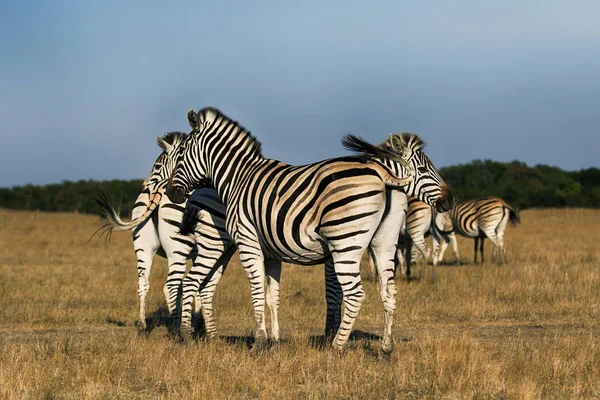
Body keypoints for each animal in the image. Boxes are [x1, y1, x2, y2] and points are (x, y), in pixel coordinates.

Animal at [94, 132, 234, 334]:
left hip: (143, 246)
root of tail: (157, 193)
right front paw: (195, 322)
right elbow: (195, 285)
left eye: (157, 166)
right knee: (171, 285)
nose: (143, 186)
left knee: (143, 282)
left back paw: (143, 324)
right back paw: (177, 328)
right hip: (178, 245)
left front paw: (194, 320)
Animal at [164, 107, 450, 354]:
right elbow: (273, 296)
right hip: (381, 244)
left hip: (339, 243)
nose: (171, 192)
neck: (237, 178)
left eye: (182, 153)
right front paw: (274, 341)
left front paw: (261, 343)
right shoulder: (272, 252)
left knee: (356, 294)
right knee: (389, 291)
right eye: (423, 169)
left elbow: (261, 293)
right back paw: (385, 349)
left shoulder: (249, 242)